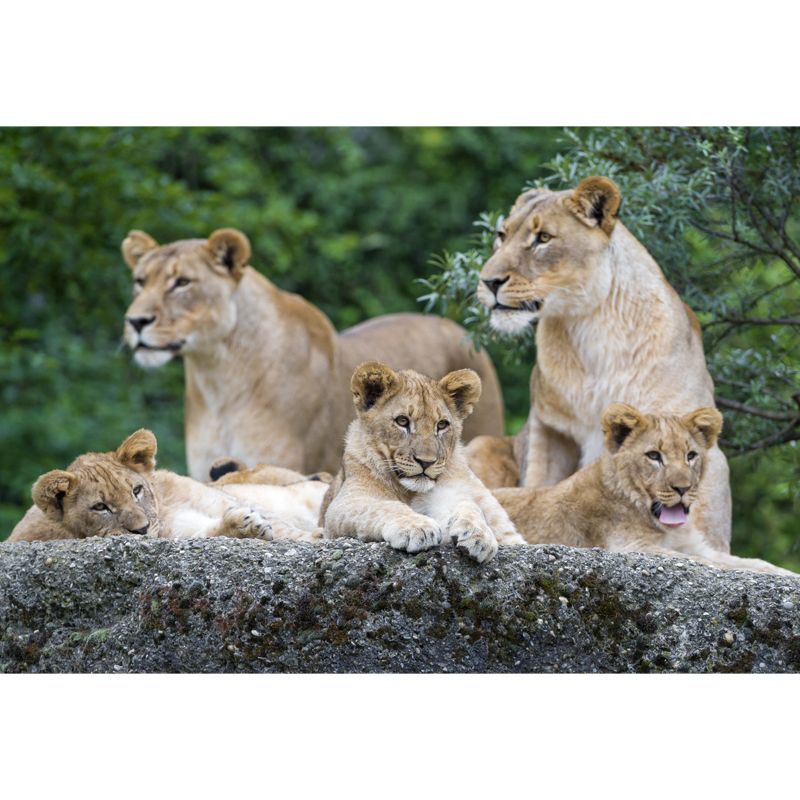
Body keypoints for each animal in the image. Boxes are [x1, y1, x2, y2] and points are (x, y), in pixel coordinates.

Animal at [7, 430, 326, 543]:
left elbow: (285, 528)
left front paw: (316, 537)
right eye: (100, 507)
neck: (166, 506)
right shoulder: (181, 533)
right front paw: (244, 526)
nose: (142, 529)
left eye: (136, 491)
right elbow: (209, 531)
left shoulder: (219, 500)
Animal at [320, 362, 524, 564]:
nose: (426, 462)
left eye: (442, 425)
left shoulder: (448, 494)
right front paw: (417, 528)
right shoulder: (344, 504)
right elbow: (384, 507)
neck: (408, 491)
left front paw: (478, 534)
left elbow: (468, 506)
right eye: (402, 421)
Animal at [467, 176, 732, 552]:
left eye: (543, 238)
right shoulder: (551, 431)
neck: (589, 327)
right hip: (482, 443)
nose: (488, 282)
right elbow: (540, 486)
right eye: (501, 236)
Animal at [494, 404, 794, 576]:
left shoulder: (695, 545)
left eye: (690, 456)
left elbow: (753, 562)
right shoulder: (628, 547)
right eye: (653, 456)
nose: (683, 488)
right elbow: (696, 561)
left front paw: (786, 575)